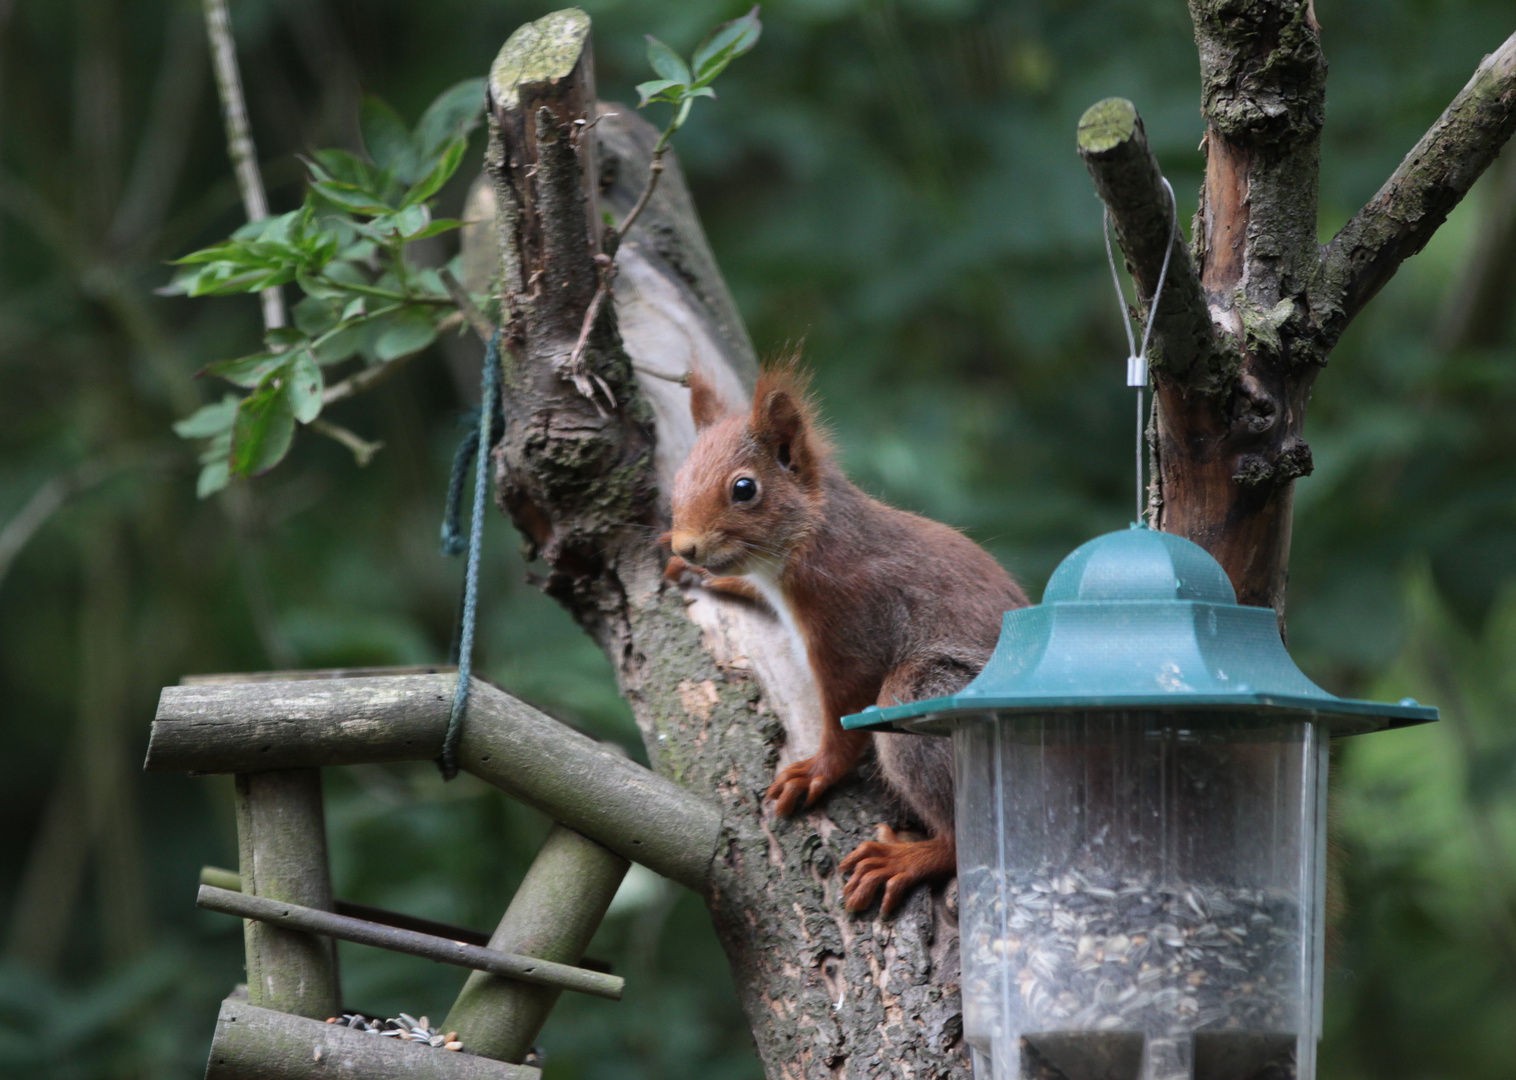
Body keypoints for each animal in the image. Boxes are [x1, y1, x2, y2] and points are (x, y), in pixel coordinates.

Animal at [657, 361, 1024, 910]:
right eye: (678, 477)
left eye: (744, 489)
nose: (688, 545)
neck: (804, 543)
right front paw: (705, 574)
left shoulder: (853, 625)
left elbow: (844, 715)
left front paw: (817, 770)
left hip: (924, 695)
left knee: (961, 837)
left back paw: (908, 858)